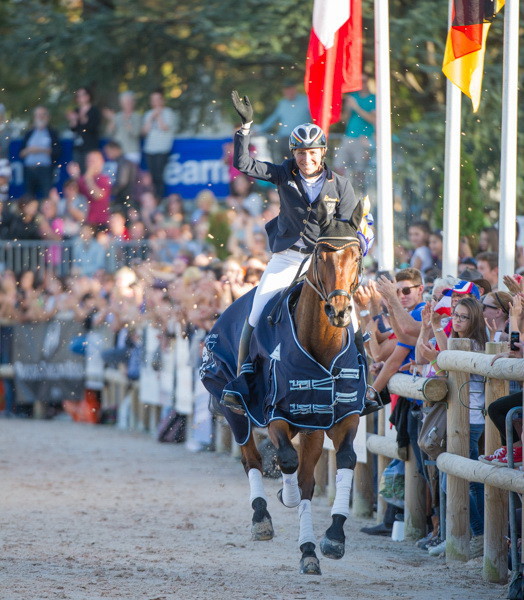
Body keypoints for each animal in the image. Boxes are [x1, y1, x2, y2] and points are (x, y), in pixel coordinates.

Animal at [199, 209, 366, 576]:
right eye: (321, 255)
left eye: (357, 255)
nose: (339, 311)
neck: (320, 346)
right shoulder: (275, 412)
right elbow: (288, 462)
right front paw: (284, 497)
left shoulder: (342, 414)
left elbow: (343, 460)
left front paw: (332, 538)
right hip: (236, 412)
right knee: (250, 460)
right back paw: (262, 517)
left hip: (312, 427)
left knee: (302, 475)